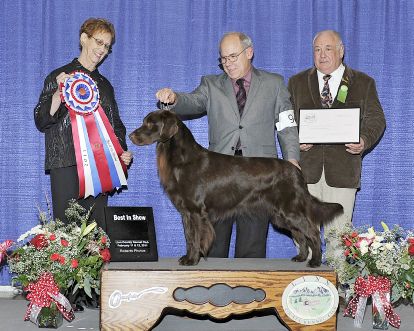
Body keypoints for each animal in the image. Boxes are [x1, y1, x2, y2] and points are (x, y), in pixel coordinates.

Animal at [129, 110, 342, 268]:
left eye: (150, 124)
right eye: (145, 122)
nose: (131, 136)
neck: (182, 159)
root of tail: (297, 171)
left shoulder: (196, 211)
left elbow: (196, 237)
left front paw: (192, 260)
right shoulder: (186, 212)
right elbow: (189, 237)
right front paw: (187, 257)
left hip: (290, 210)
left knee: (312, 232)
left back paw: (315, 261)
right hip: (280, 216)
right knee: (300, 234)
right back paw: (300, 257)